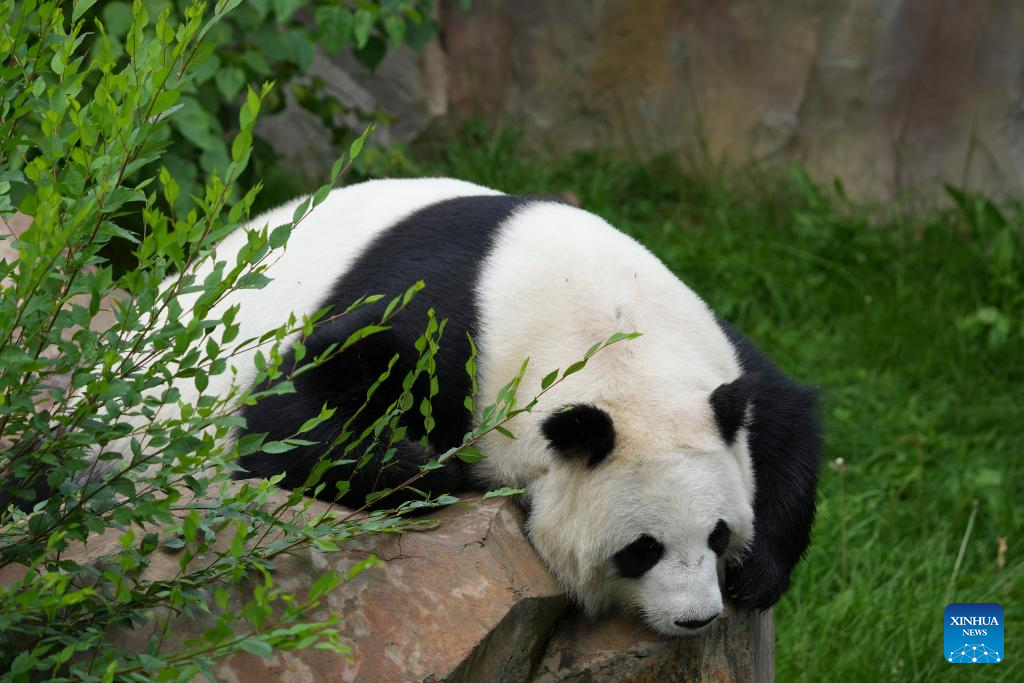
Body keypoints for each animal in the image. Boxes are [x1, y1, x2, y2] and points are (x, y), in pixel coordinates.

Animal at [110, 176, 823, 634]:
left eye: (717, 533)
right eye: (641, 549)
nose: (696, 618)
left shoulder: (710, 345)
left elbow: (785, 411)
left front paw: (758, 573)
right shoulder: (445, 325)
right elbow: (285, 411)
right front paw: (426, 467)